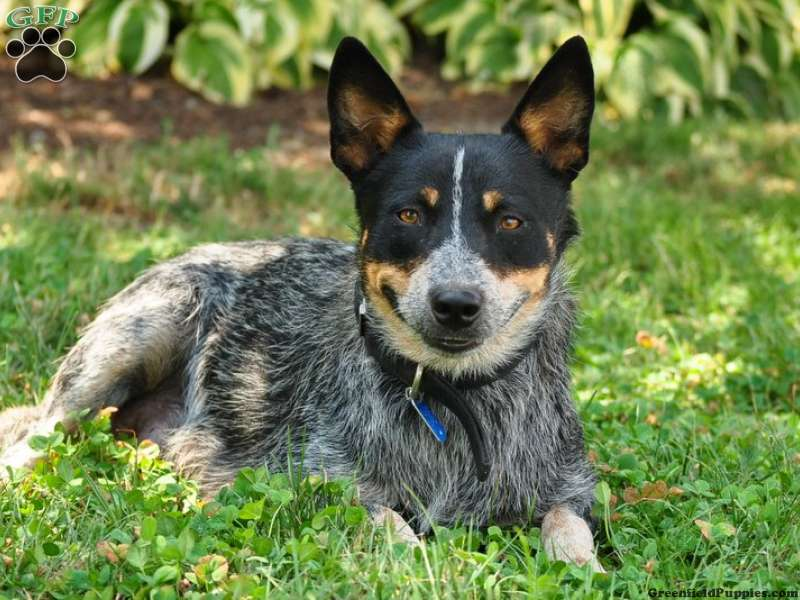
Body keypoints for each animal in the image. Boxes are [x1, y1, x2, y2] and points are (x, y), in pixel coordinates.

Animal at [0, 35, 600, 568]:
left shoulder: (568, 485)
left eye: (510, 221)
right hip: (140, 336)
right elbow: (388, 526)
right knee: (35, 438)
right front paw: (422, 567)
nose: (454, 303)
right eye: (408, 215)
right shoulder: (317, 480)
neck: (454, 398)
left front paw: (583, 566)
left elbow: (570, 527)